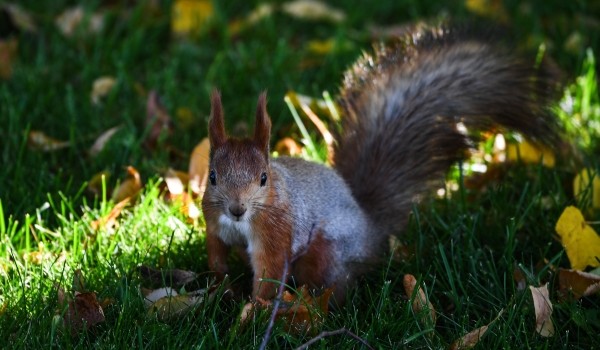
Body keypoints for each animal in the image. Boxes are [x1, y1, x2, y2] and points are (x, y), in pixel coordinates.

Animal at [199, 25, 560, 304]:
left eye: (263, 178)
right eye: (212, 176)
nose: (237, 209)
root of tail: (371, 228)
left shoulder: (277, 233)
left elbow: (270, 275)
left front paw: (253, 314)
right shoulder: (214, 223)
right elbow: (217, 258)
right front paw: (219, 290)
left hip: (327, 251)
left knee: (335, 285)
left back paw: (312, 309)